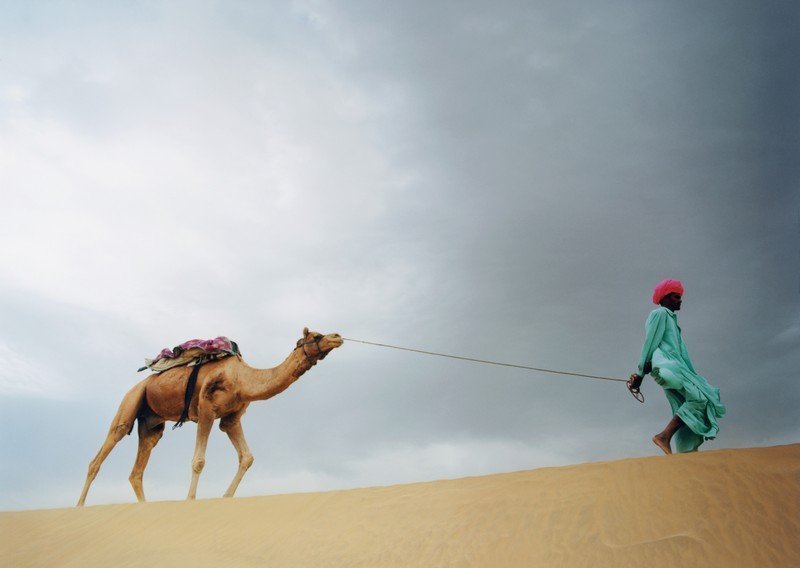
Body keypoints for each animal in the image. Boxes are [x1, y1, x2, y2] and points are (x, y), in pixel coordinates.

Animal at [78, 326, 344, 508]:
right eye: (316, 336)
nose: (337, 336)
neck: (242, 379)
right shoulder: (206, 409)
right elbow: (199, 461)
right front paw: (190, 500)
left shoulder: (231, 418)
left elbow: (247, 457)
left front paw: (225, 497)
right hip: (130, 401)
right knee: (104, 449)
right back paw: (79, 505)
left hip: (152, 423)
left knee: (137, 469)